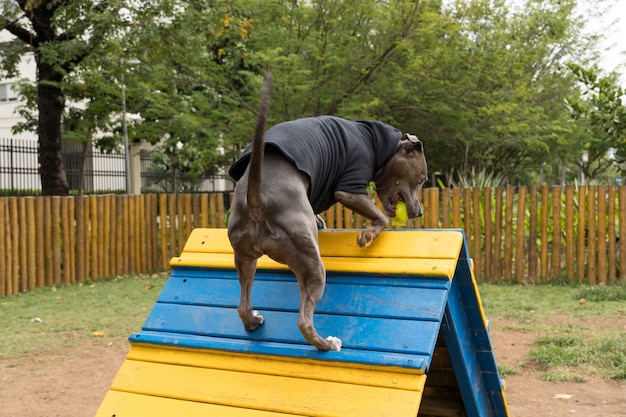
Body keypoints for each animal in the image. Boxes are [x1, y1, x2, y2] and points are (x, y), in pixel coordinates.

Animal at [227, 73, 426, 350]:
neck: (379, 145)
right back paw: (328, 344)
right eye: (422, 180)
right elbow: (381, 216)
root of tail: (256, 199)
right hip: (311, 264)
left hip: (245, 258)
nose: (418, 213)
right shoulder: (350, 186)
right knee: (303, 321)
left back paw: (253, 322)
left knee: (243, 305)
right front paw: (367, 236)